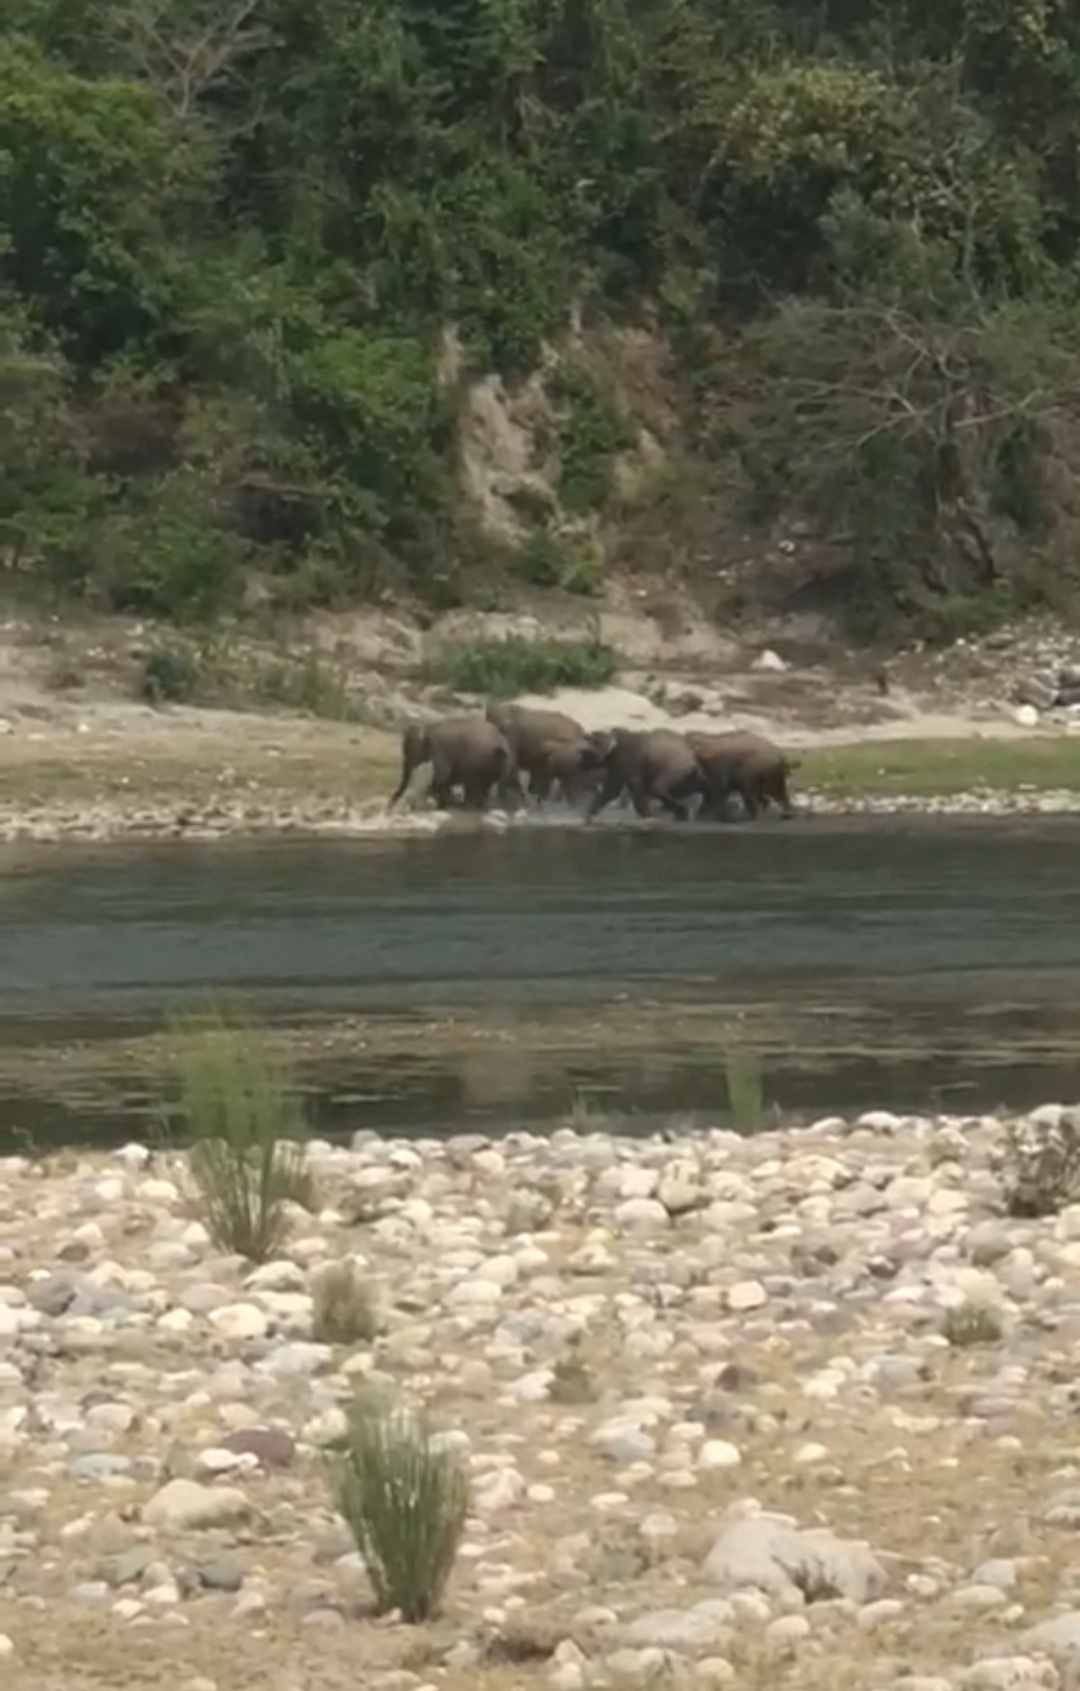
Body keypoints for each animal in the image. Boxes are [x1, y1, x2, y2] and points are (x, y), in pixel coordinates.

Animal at [388, 717, 521, 811]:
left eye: (409, 750)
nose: (389, 807)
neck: (428, 727)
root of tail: (501, 743)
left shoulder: (439, 748)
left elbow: (442, 775)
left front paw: (442, 804)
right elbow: (446, 778)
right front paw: (443, 804)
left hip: (480, 759)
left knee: (473, 781)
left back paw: (467, 805)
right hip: (499, 763)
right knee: (483, 783)